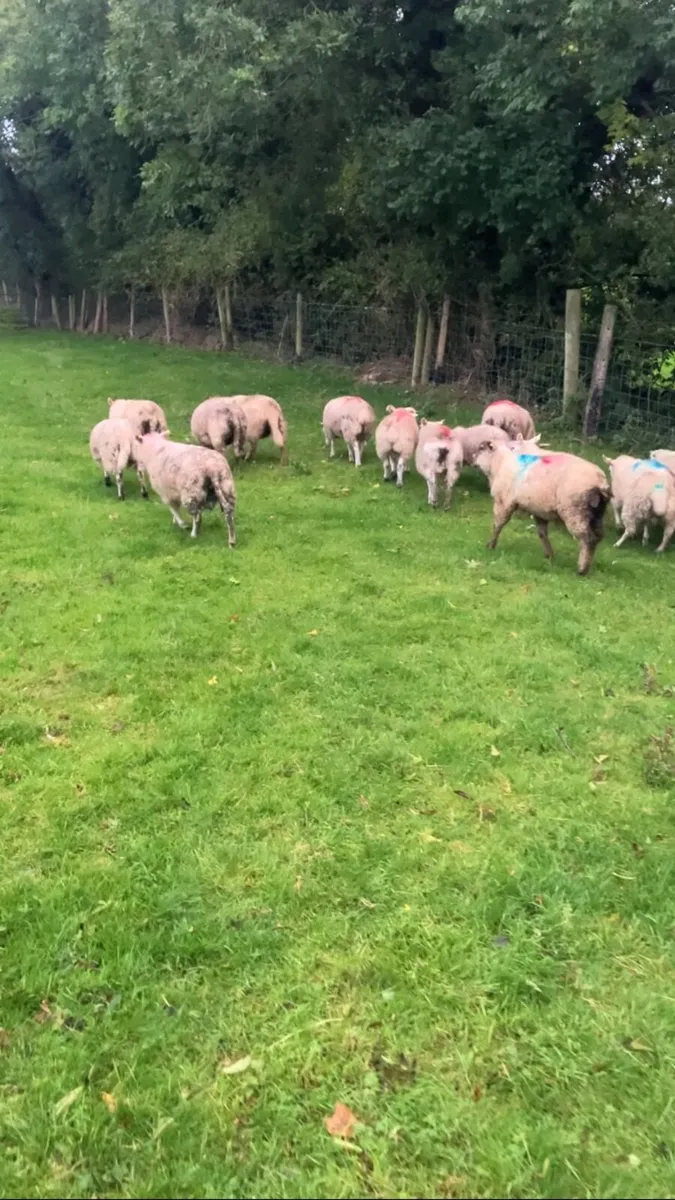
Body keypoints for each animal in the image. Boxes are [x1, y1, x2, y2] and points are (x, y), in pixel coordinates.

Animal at [474, 440, 609, 575]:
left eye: (481, 448)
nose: (473, 459)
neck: (499, 462)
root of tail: (599, 481)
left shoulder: (503, 502)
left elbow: (498, 525)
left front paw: (490, 546)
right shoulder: (539, 511)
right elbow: (542, 533)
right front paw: (549, 556)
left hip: (574, 511)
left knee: (588, 538)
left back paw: (582, 569)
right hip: (597, 513)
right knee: (598, 536)